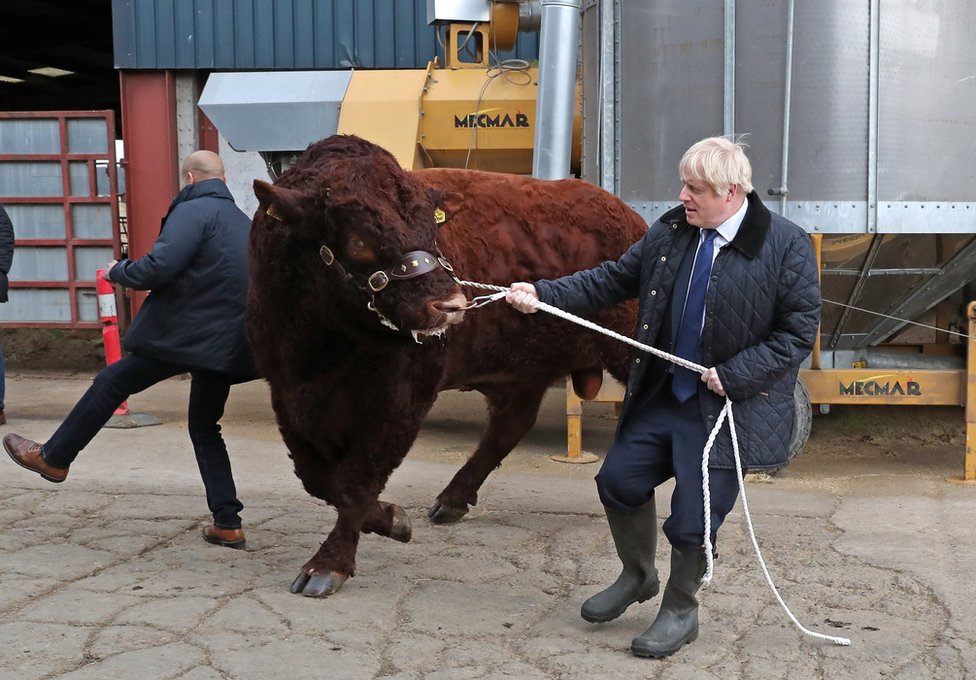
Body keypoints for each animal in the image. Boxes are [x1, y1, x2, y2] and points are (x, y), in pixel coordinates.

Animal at [248, 134, 647, 597]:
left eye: (431, 228)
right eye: (359, 239)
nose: (451, 305)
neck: (320, 349)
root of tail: (625, 214)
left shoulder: (403, 398)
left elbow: (357, 480)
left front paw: (330, 564)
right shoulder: (287, 393)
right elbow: (319, 477)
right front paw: (390, 519)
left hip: (629, 350)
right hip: (524, 370)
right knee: (509, 427)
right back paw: (452, 500)